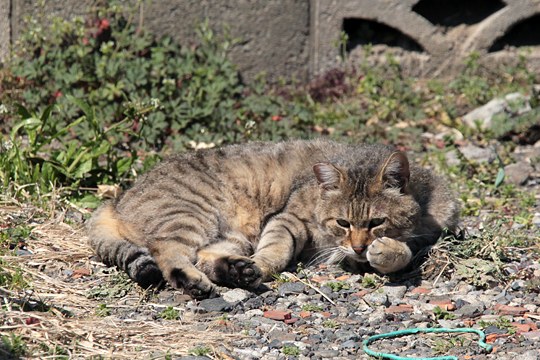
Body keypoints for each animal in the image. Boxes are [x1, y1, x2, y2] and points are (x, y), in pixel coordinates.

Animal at [87, 139, 460, 300]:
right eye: (341, 223)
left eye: (375, 222)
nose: (357, 247)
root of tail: (118, 199)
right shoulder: (289, 219)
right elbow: (277, 249)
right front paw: (266, 264)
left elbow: (406, 251)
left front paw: (385, 250)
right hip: (191, 215)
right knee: (168, 252)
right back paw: (197, 281)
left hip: (230, 236)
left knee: (205, 257)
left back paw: (238, 271)